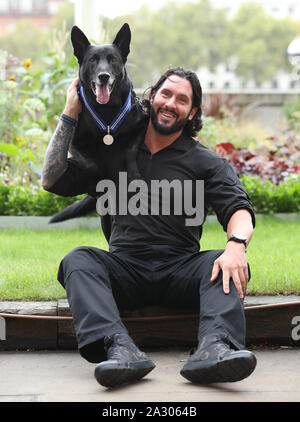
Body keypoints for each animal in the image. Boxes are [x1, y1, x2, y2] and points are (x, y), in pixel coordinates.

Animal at [51, 23, 148, 241]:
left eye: (113, 59)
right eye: (93, 60)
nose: (104, 76)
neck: (107, 111)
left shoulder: (142, 126)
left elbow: (130, 150)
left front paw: (134, 174)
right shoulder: (73, 143)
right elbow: (91, 164)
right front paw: (98, 182)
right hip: (105, 219)